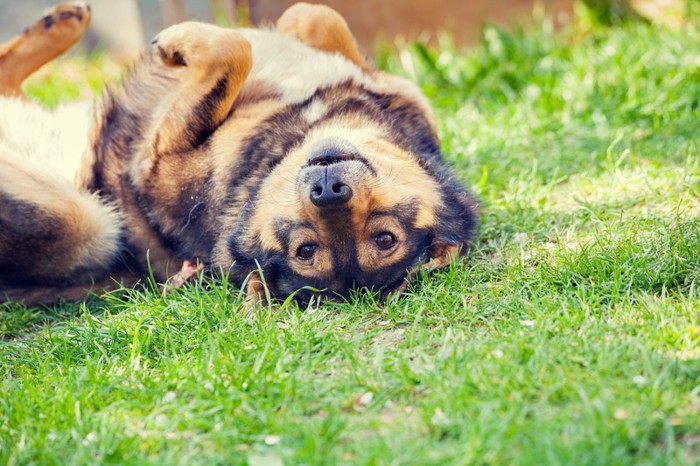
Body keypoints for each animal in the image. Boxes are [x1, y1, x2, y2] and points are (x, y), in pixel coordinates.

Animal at [0, 2, 478, 306]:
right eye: (306, 249)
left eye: (384, 239)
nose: (329, 190)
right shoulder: (399, 92)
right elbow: (313, 18)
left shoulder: (155, 160)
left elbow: (235, 50)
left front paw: (178, 43)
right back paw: (60, 22)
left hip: (87, 223)